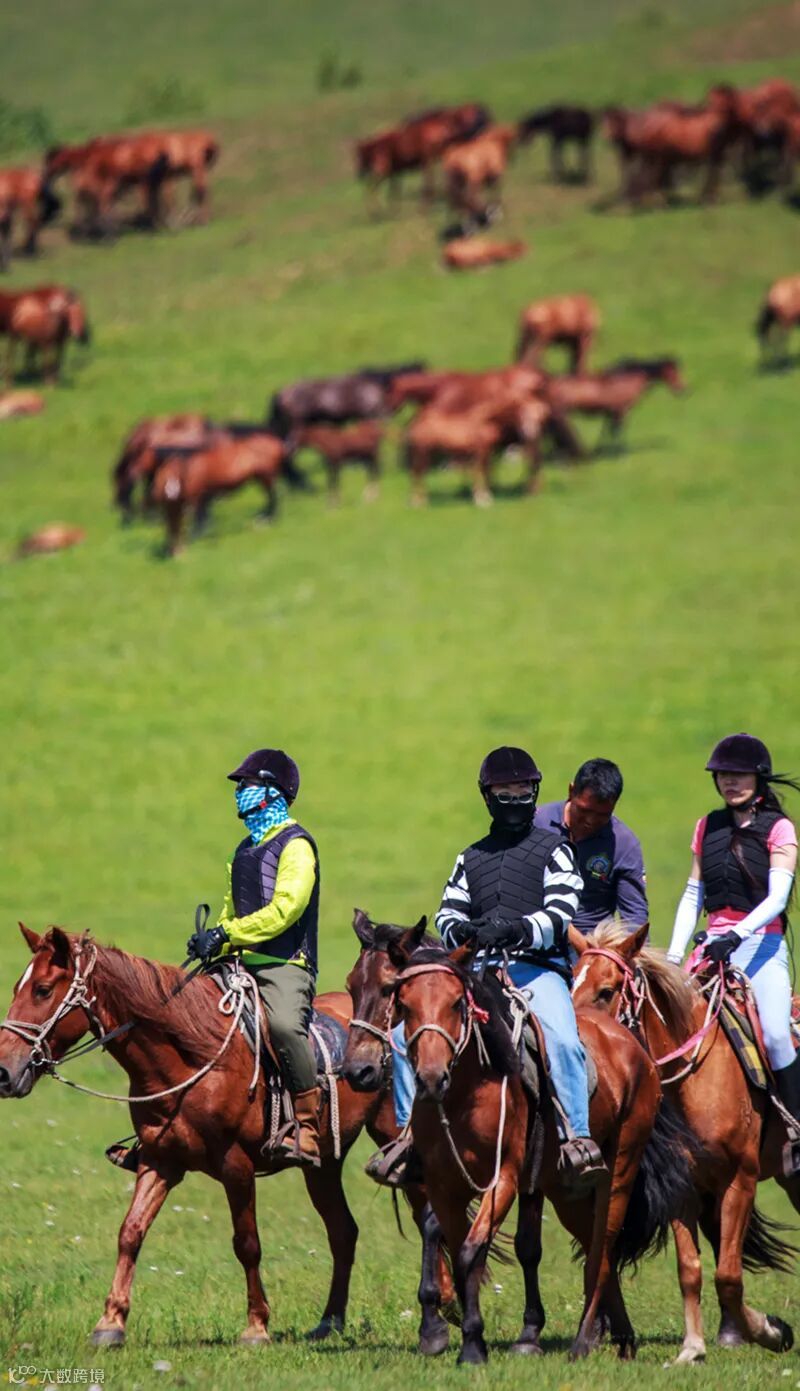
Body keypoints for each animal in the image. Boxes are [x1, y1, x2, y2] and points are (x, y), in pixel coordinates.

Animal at [0, 924, 451, 1346]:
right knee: (344, 1231)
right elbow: (130, 1233)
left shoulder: (236, 1165)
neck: (190, 1059)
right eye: (18, 987)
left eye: (42, 989)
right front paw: (110, 1323)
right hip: (322, 1165)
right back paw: (330, 1321)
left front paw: (256, 1326)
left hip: (395, 1140)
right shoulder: (159, 1161)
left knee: (425, 1209)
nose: (5, 1071)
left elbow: (246, 1243)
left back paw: (443, 1302)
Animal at [343, 913, 695, 1364]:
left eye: (456, 1002)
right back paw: (620, 1335)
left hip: (618, 1170)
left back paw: (585, 1338)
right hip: (563, 1188)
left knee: (603, 1245)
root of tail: (632, 1045)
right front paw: (455, 1334)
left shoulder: (504, 1179)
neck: (466, 1089)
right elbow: (453, 1243)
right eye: (355, 986)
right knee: (589, 1244)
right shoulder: (443, 1183)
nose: (358, 1070)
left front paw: (469, 1343)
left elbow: (470, 1250)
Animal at [544, 356, 686, 450]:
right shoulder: (622, 410)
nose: (684, 389)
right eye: (673, 373)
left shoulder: (611, 412)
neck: (628, 378)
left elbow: (606, 432)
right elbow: (618, 432)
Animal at [571, 923, 798, 1362]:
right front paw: (693, 1349)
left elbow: (728, 1275)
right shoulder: (684, 1187)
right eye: (571, 981)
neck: (697, 1075)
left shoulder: (740, 1181)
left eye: (606, 991)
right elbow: (690, 1269)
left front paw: (767, 1330)